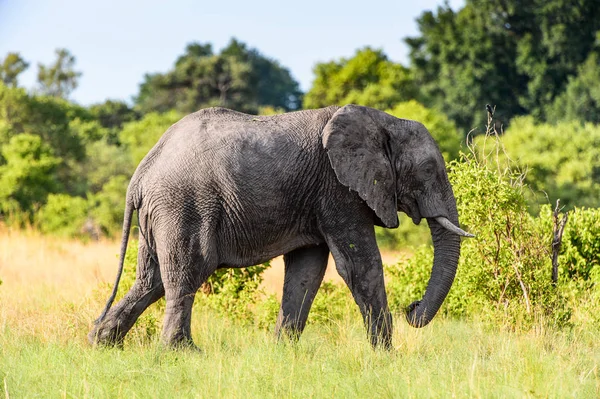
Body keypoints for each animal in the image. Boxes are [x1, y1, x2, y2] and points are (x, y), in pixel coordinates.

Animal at [89, 105, 474, 350]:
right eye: (428, 170)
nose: (412, 308)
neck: (385, 121)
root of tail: (141, 172)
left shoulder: (317, 197)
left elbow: (307, 271)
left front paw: (283, 352)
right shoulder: (338, 190)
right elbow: (359, 265)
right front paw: (386, 355)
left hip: (161, 211)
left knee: (150, 279)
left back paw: (102, 343)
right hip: (184, 204)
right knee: (188, 270)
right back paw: (181, 352)